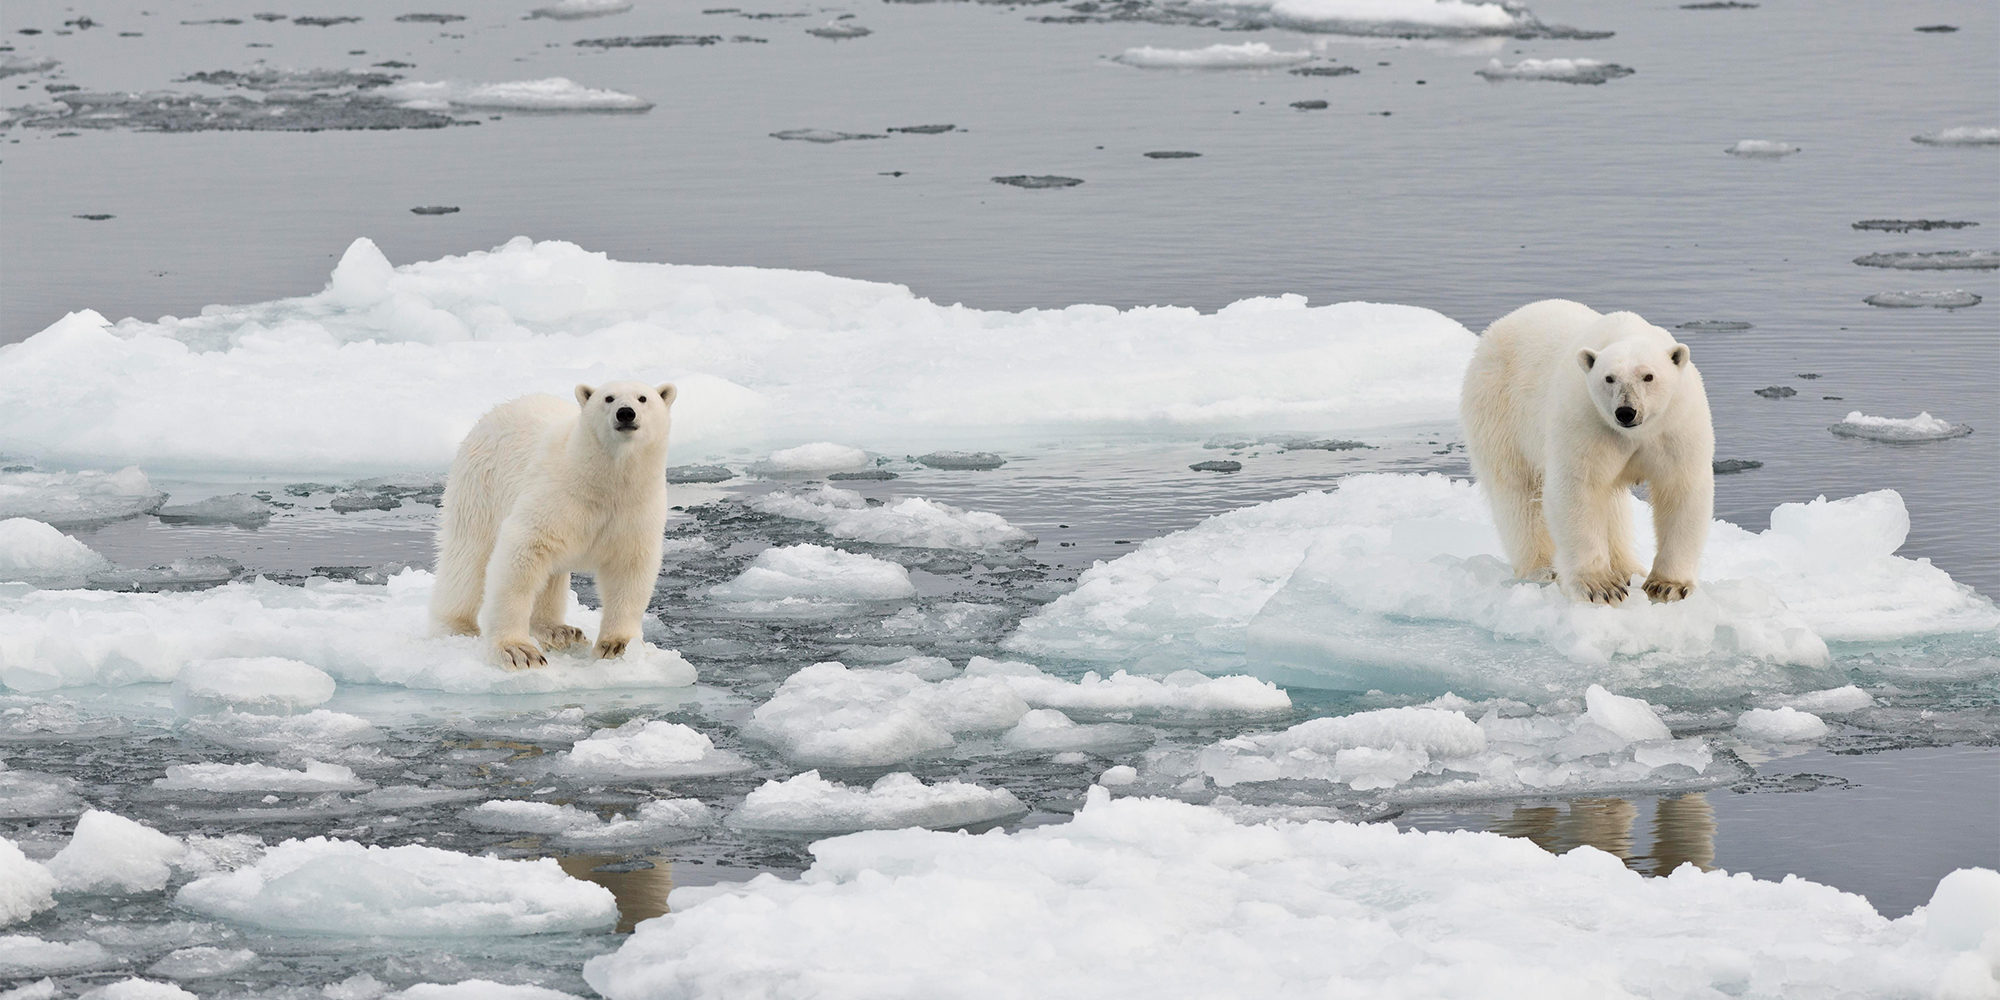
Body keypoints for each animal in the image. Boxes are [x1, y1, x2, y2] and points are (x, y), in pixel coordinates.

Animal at [430, 378, 680, 668]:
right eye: (608, 398)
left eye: (643, 398)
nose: (626, 413)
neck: (603, 482)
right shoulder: (556, 494)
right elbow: (521, 553)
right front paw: (517, 650)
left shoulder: (634, 509)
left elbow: (630, 568)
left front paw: (618, 645)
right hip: (480, 486)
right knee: (468, 557)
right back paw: (457, 626)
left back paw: (559, 630)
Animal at [1456, 300, 1720, 604]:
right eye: (1609, 378)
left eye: (1648, 376)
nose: (1626, 411)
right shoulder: (1586, 420)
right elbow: (1579, 488)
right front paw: (1601, 586)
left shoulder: (1676, 427)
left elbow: (1681, 489)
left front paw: (1668, 586)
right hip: (1499, 410)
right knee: (1516, 492)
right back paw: (1543, 569)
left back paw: (1628, 568)